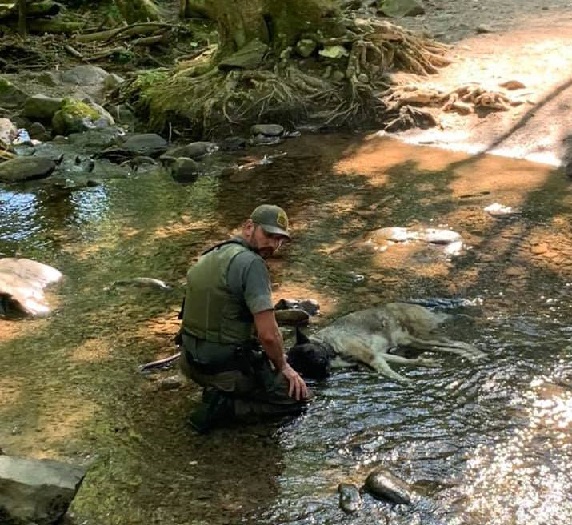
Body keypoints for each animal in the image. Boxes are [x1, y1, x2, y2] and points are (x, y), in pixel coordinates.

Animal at [288, 302, 484, 380]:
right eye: (303, 366)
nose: (323, 369)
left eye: (310, 352)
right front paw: (425, 363)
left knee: (459, 344)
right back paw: (473, 357)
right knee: (452, 347)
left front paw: (405, 381)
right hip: (414, 342)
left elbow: (388, 373)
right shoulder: (377, 355)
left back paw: (476, 355)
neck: (329, 347)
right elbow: (403, 361)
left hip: (421, 337)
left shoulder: (370, 355)